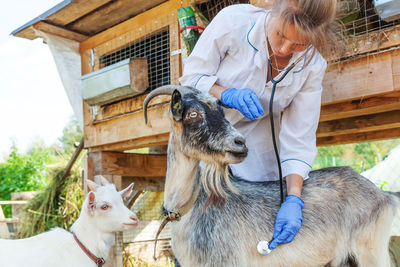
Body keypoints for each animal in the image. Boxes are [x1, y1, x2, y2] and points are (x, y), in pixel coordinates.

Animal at [143, 86, 396, 267]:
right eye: (193, 113)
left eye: (222, 112)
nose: (240, 142)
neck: (188, 207)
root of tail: (383, 195)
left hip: (370, 251)